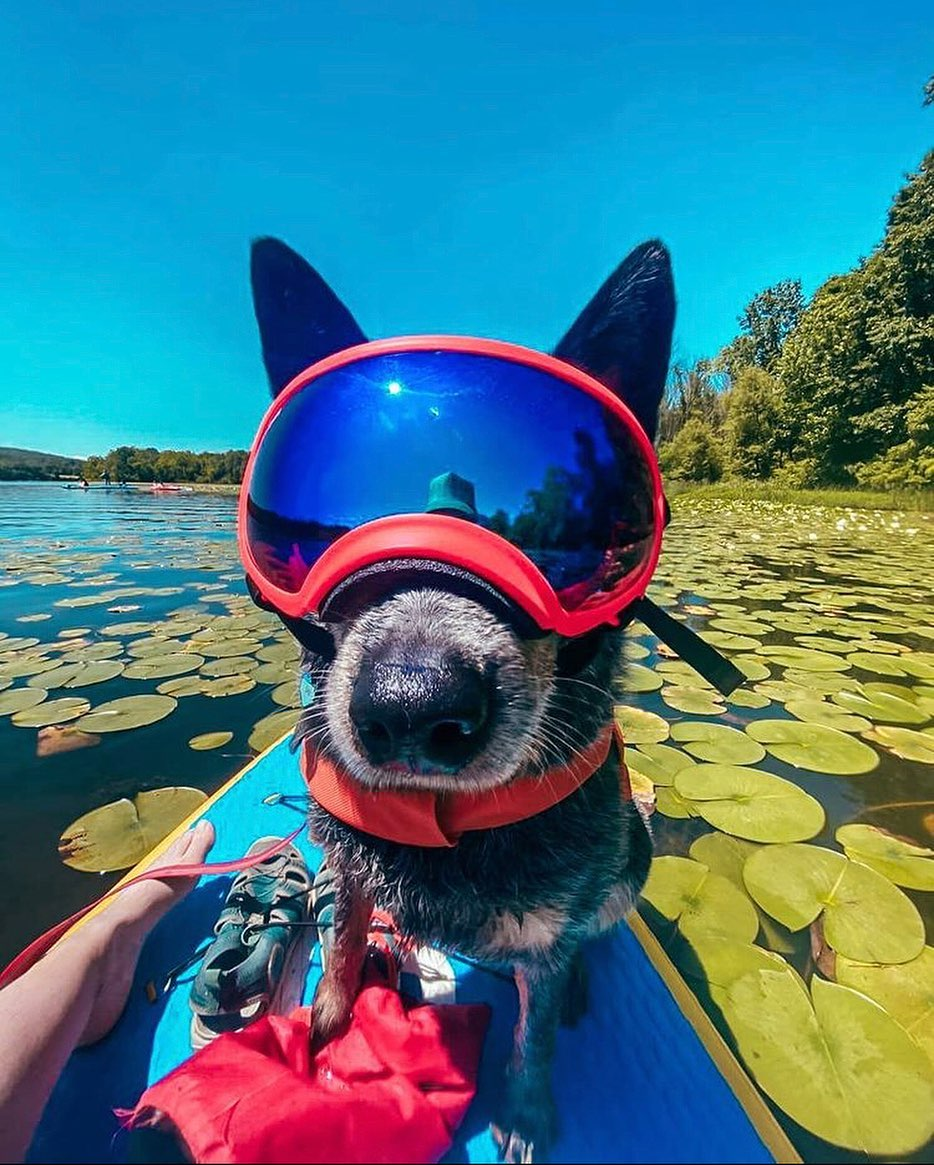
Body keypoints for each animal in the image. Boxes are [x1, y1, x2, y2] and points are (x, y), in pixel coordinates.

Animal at [246, 231, 670, 1160]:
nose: (411, 702)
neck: (445, 826)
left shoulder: (556, 923)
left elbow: (535, 1029)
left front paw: (526, 1112)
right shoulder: (348, 862)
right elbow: (344, 943)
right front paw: (327, 1027)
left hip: (636, 858)